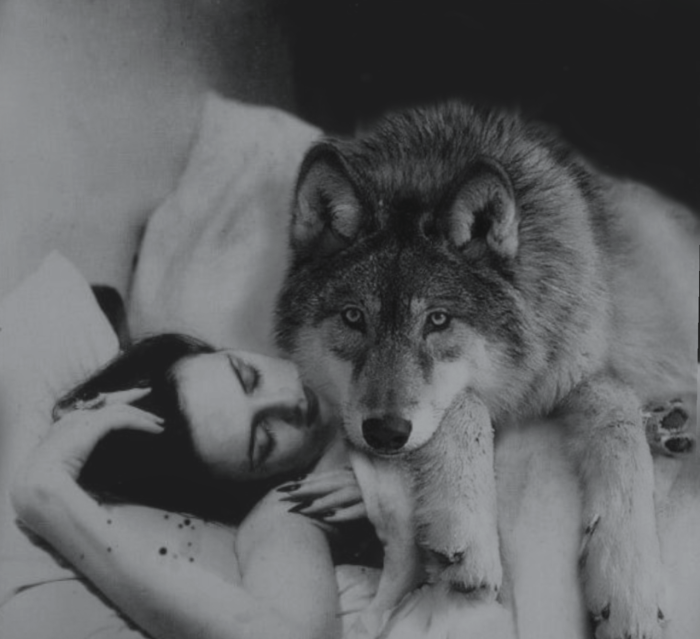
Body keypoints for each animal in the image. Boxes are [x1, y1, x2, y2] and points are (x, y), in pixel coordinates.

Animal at [275, 102, 699, 639]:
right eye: (353, 317)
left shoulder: (580, 371)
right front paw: (467, 527)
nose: (385, 433)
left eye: (438, 320)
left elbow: (621, 436)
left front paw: (629, 589)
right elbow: (469, 405)